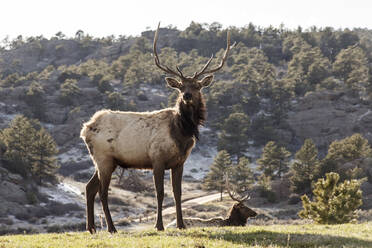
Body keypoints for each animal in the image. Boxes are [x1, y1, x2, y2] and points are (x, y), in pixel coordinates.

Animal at [80, 23, 235, 232]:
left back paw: (91, 228)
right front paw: (159, 225)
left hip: (106, 161)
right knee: (102, 192)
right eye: (180, 86)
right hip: (104, 158)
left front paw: (181, 224)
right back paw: (111, 228)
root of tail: (86, 129)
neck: (181, 134)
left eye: (197, 86)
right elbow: (160, 193)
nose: (186, 95)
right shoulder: (157, 158)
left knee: (89, 187)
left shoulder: (179, 162)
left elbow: (177, 193)